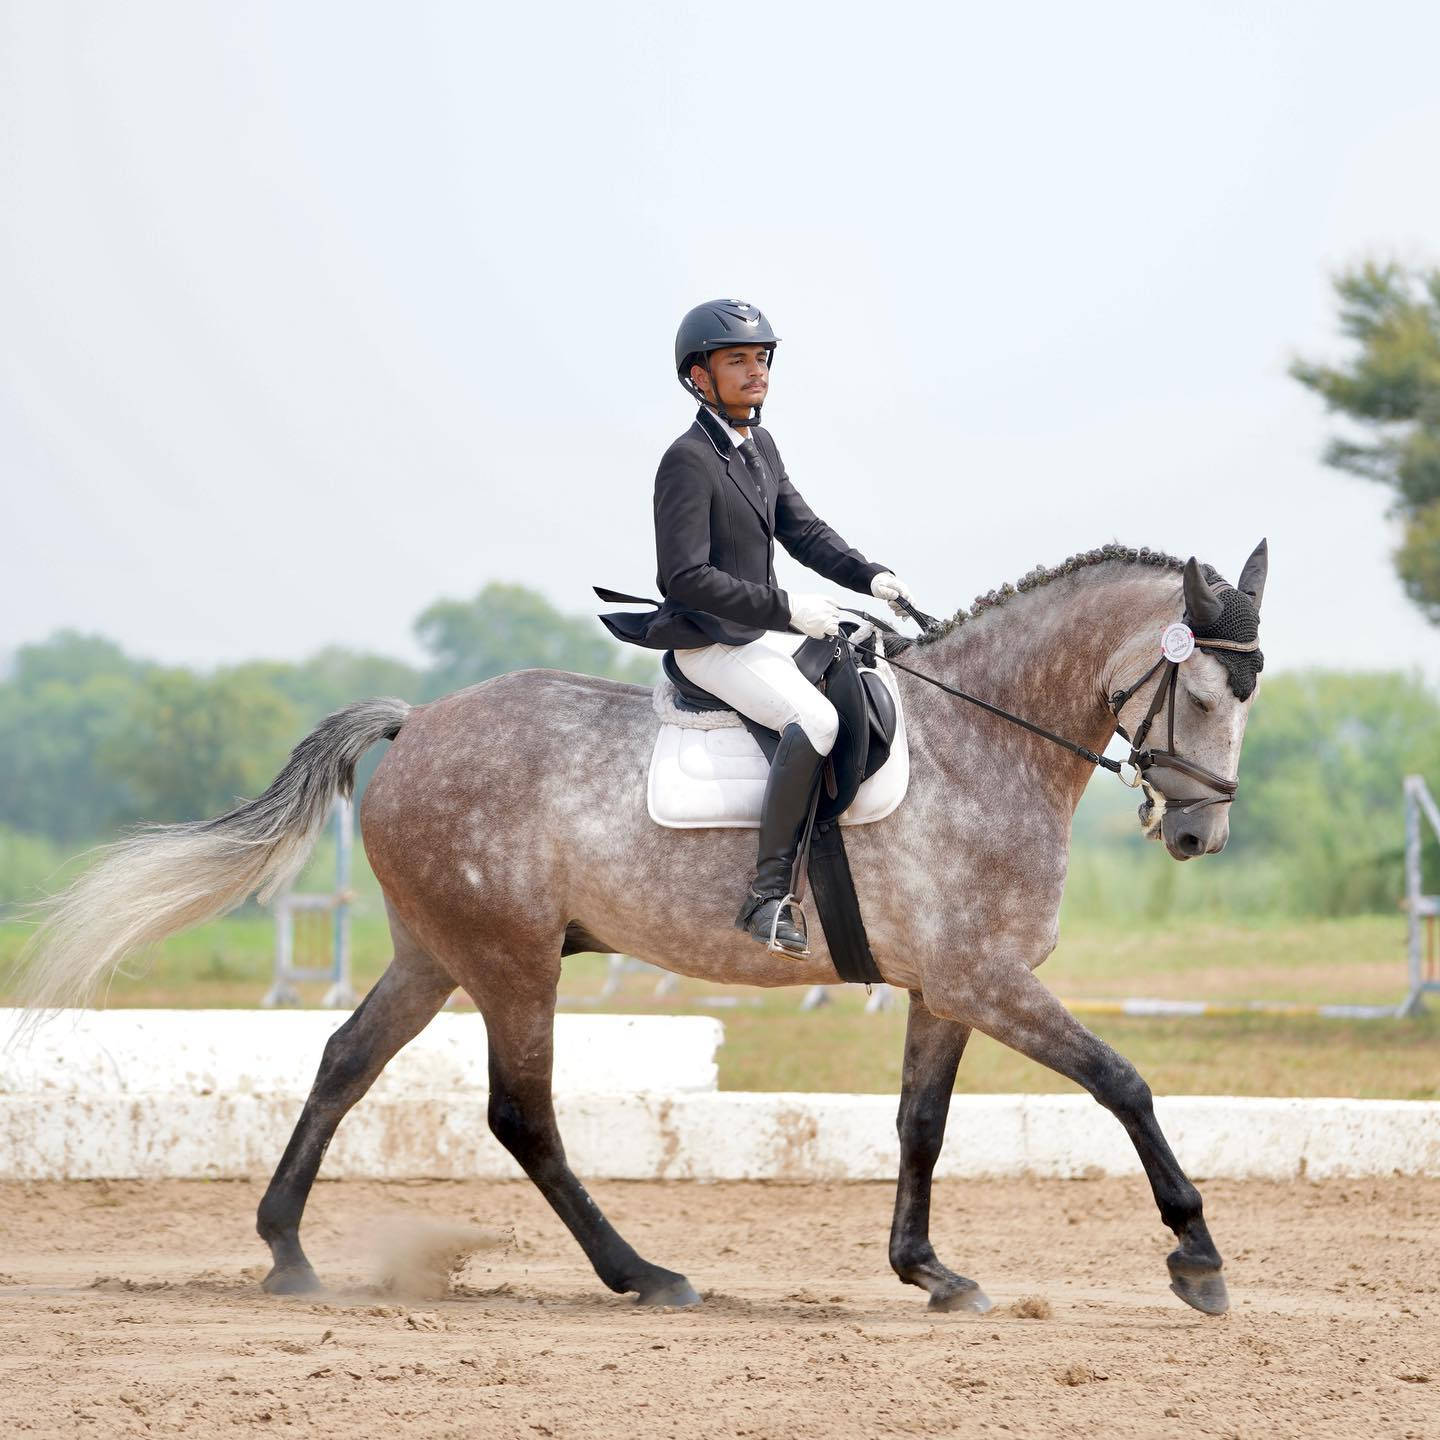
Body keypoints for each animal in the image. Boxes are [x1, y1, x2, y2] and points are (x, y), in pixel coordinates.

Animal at [16, 541, 1267, 1319]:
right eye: (1206, 694)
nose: (1198, 834)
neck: (984, 743)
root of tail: (418, 722)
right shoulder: (987, 977)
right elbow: (1123, 1083)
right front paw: (1197, 1257)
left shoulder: (949, 986)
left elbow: (921, 1126)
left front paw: (929, 1273)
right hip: (511, 961)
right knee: (522, 1116)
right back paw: (645, 1273)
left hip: (435, 955)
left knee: (342, 1065)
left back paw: (286, 1250)